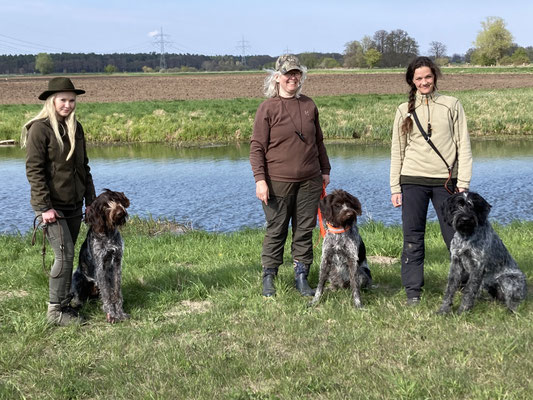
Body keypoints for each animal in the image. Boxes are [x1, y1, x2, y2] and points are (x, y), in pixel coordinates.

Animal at [70, 189, 131, 324]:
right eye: (104, 206)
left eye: (115, 199)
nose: (119, 212)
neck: (108, 233)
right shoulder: (101, 267)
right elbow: (107, 294)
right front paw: (112, 315)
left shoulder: (117, 264)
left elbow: (116, 293)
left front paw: (120, 313)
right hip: (77, 278)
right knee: (78, 298)